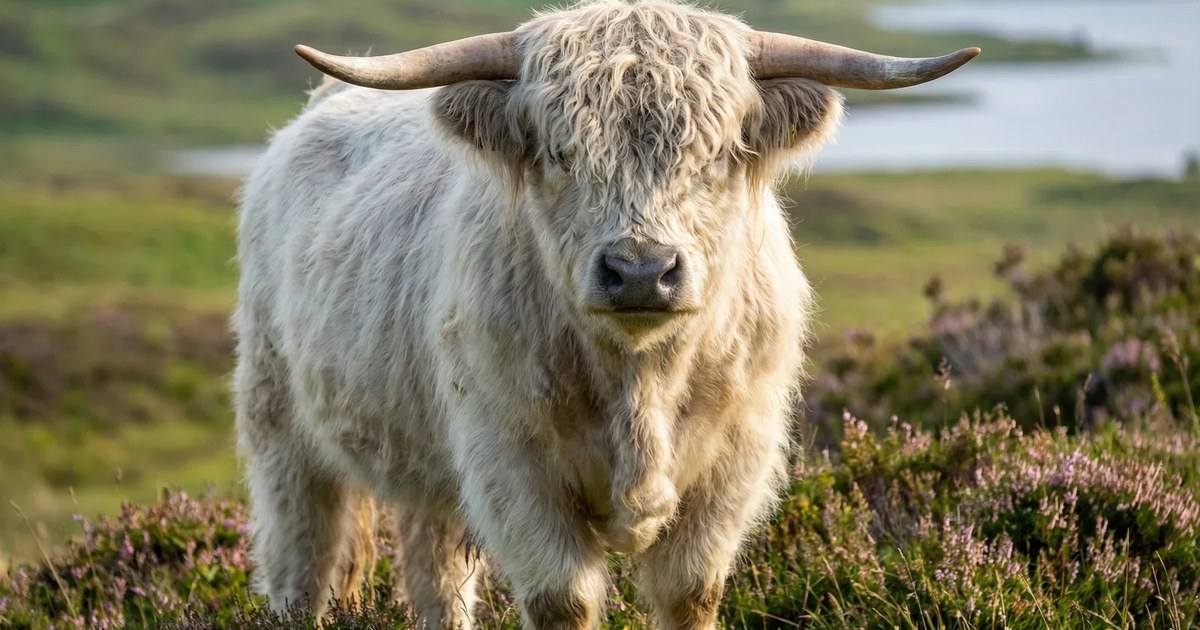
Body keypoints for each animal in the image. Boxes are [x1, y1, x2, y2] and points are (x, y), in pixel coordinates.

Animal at [233, 0, 978, 627]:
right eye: (562, 153)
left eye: (715, 153)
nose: (641, 271)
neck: (639, 378)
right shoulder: (512, 467)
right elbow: (564, 600)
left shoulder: (732, 466)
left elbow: (690, 593)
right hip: (281, 432)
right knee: (302, 567)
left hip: (427, 473)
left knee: (434, 575)